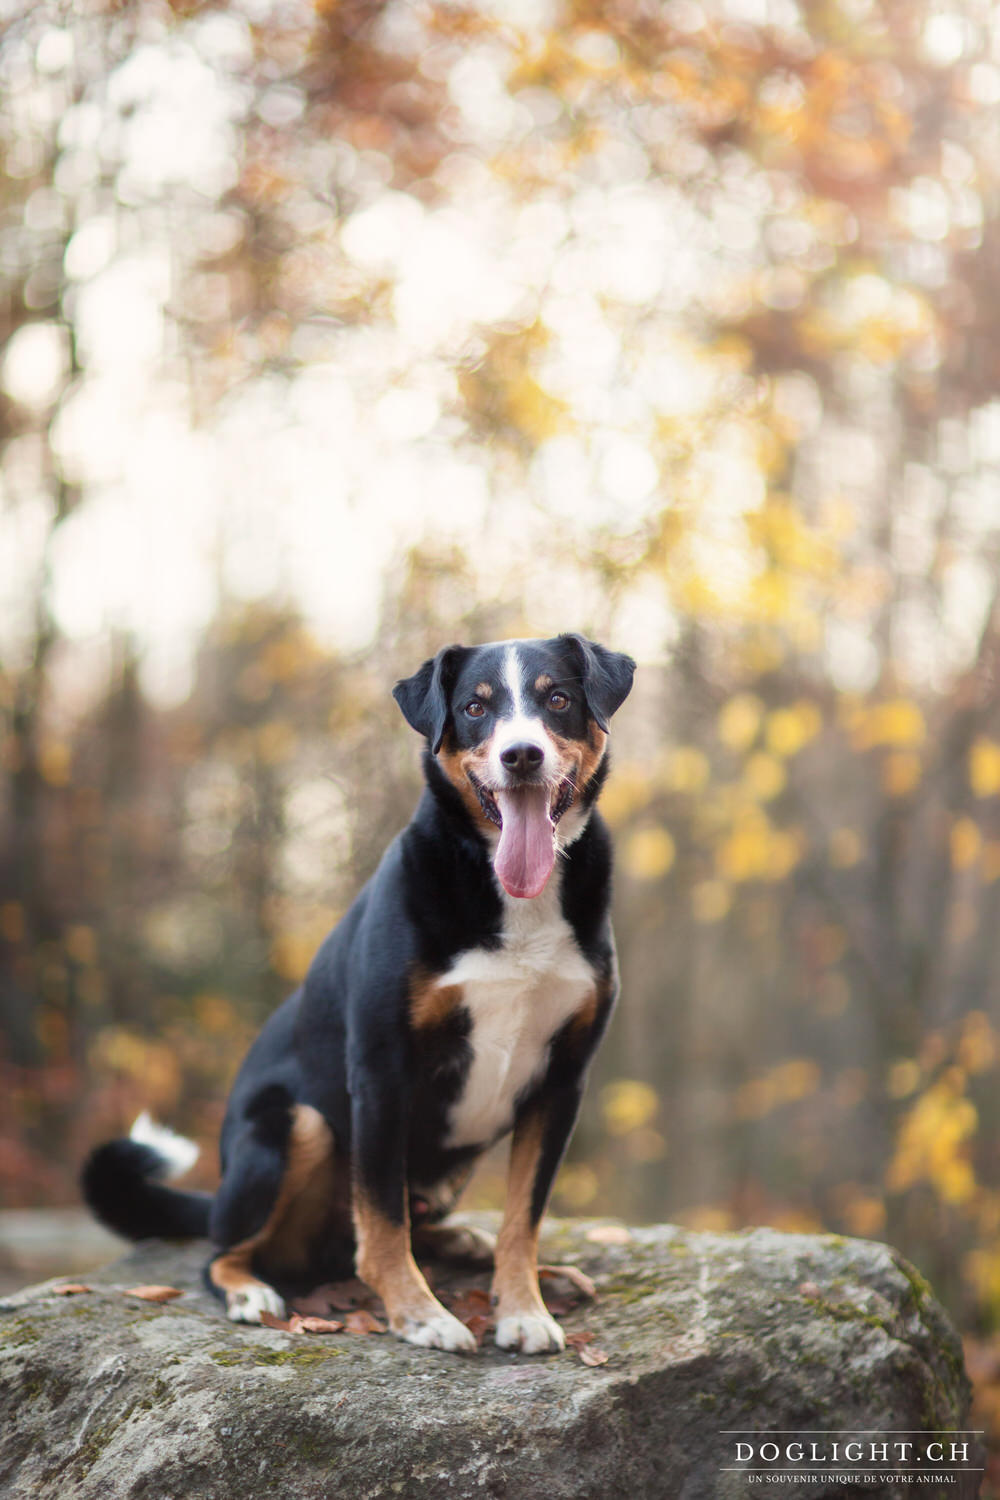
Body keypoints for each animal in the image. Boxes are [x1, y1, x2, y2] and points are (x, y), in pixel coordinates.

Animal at [83, 633, 632, 1362]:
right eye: (476, 707)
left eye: (559, 698)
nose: (521, 755)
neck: (513, 896)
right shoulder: (381, 1069)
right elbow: (382, 1221)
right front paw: (419, 1316)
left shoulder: (561, 1082)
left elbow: (524, 1215)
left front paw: (523, 1307)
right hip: (295, 1125)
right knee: (224, 1251)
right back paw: (250, 1291)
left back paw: (488, 1252)